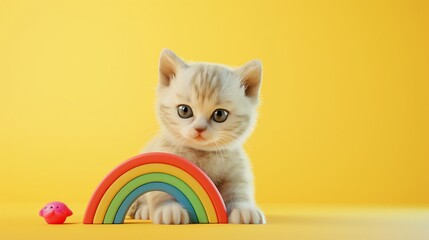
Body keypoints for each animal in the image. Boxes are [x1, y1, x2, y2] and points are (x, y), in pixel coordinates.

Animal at [128, 49, 264, 224]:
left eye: (220, 114)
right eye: (184, 110)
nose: (200, 129)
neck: (201, 153)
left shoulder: (237, 170)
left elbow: (239, 190)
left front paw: (244, 209)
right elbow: (162, 190)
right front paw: (169, 210)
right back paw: (144, 210)